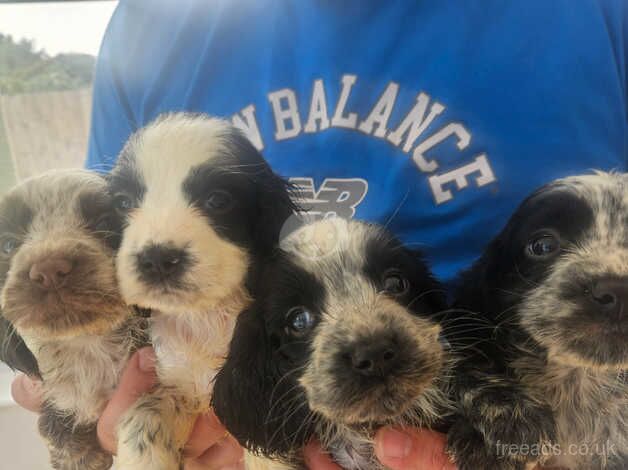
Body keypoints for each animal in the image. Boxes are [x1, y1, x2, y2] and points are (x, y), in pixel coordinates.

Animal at [108, 112, 296, 468]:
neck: (206, 316)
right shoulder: (179, 382)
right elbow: (144, 416)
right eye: (123, 202)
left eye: (218, 200)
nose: (157, 259)